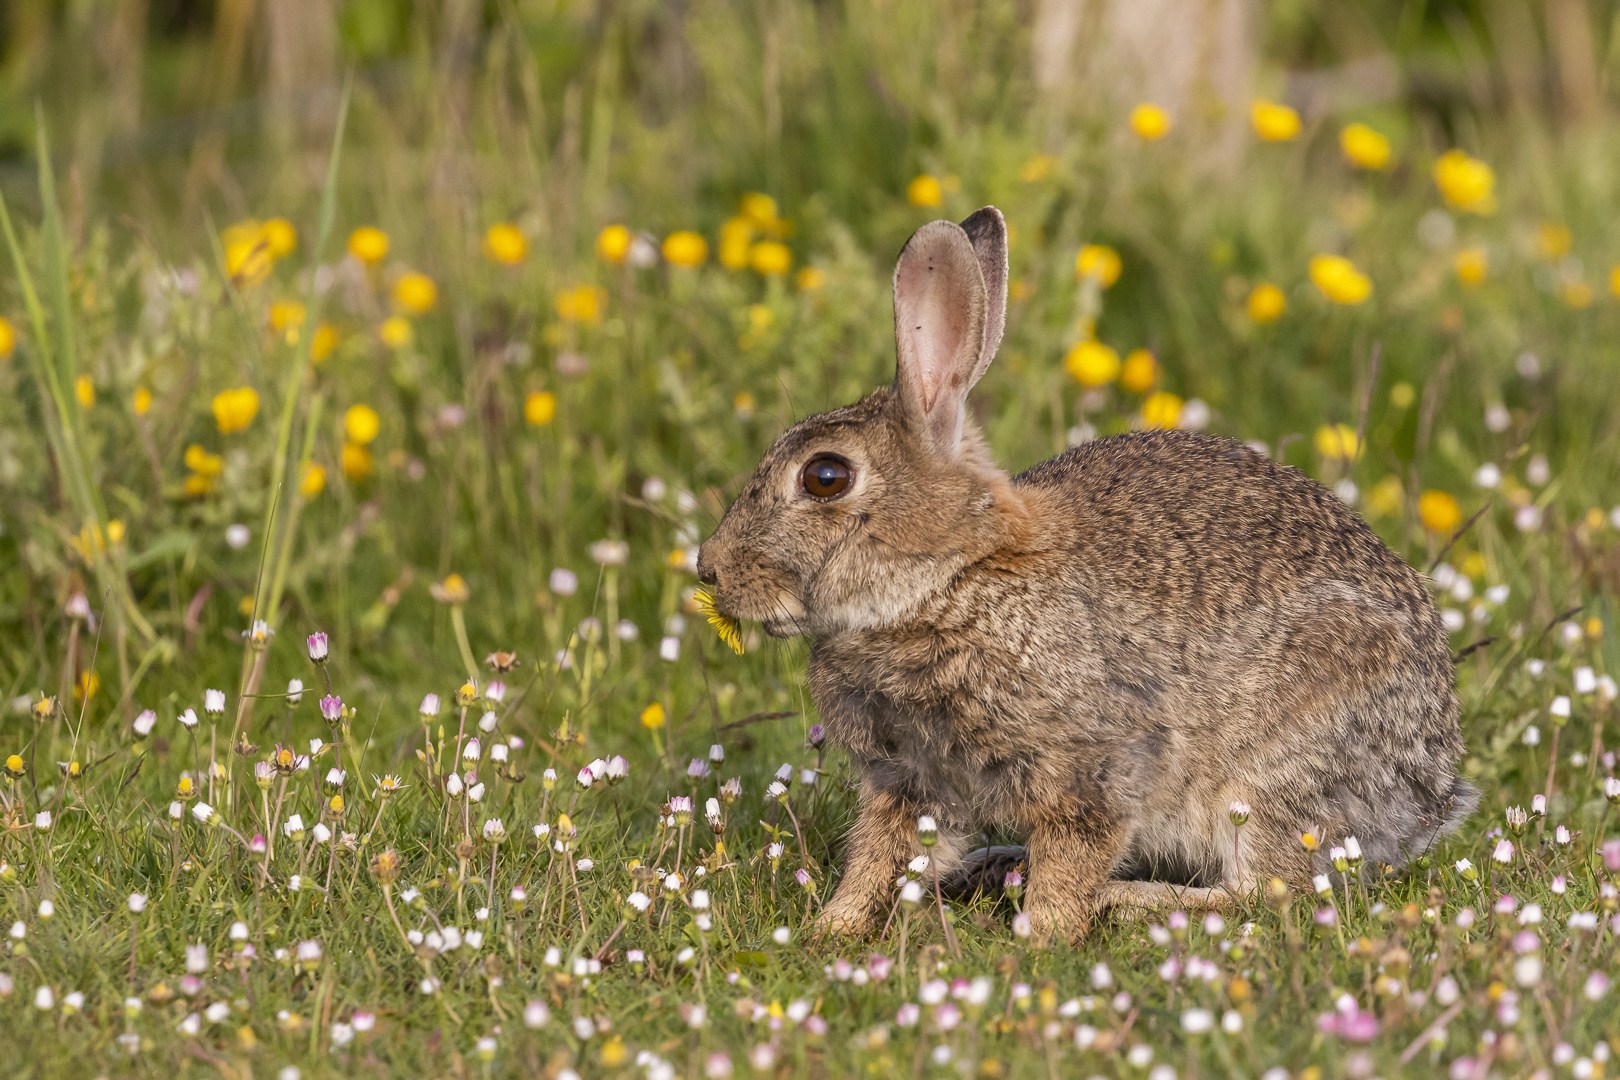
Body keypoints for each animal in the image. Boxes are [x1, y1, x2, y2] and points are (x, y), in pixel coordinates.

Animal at [690, 204, 1477, 945]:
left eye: (825, 477)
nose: (709, 570)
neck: (950, 581)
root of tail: (1428, 798)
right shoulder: (909, 778)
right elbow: (880, 856)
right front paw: (833, 929)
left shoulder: (1096, 768)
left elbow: (1074, 857)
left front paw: (1040, 938)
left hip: (1269, 777)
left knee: (1265, 891)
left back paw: (1125, 900)